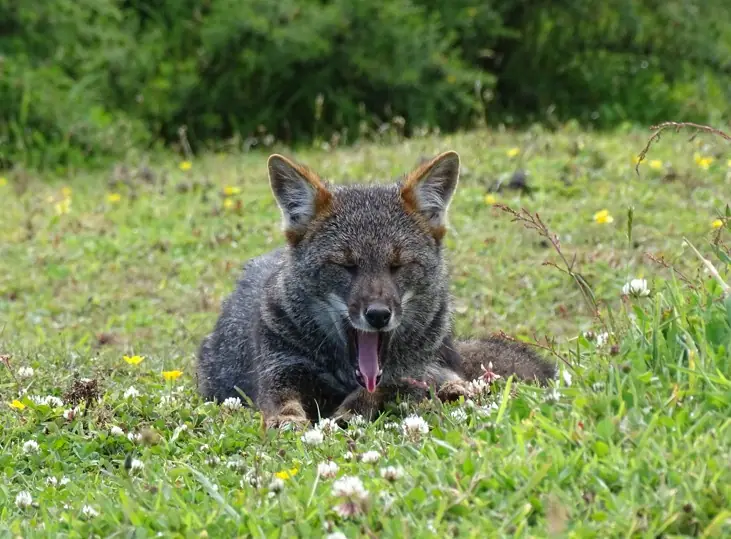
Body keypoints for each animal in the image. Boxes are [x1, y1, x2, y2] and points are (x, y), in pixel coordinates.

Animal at [196, 151, 556, 428]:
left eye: (398, 265)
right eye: (346, 266)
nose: (379, 315)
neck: (344, 371)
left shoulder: (408, 373)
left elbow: (379, 390)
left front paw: (348, 414)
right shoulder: (279, 369)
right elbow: (281, 402)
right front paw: (288, 422)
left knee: (454, 374)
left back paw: (458, 389)